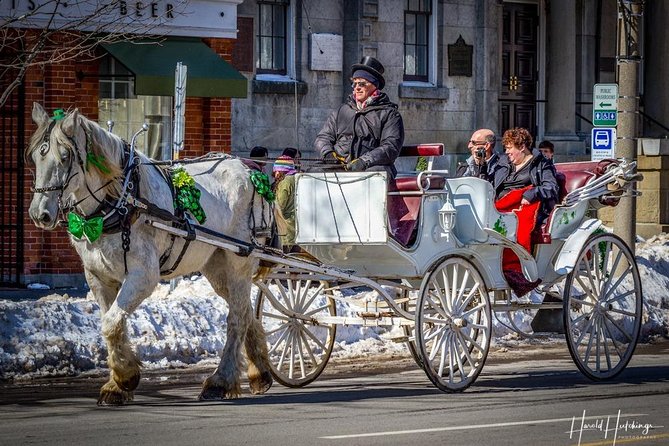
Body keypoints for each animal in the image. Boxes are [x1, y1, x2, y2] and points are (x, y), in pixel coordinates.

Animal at [28, 103, 274, 404]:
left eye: (65, 157)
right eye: (34, 157)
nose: (39, 213)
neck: (122, 200)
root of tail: (247, 169)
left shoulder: (143, 275)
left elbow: (111, 323)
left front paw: (125, 378)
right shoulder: (98, 277)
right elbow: (112, 323)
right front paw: (117, 385)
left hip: (239, 260)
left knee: (237, 318)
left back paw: (220, 381)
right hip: (217, 266)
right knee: (247, 312)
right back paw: (260, 372)